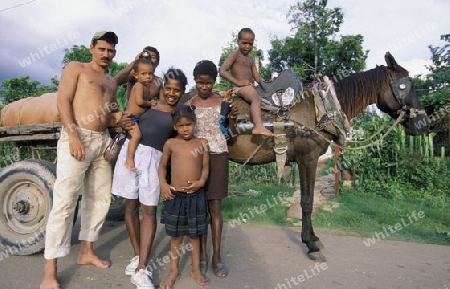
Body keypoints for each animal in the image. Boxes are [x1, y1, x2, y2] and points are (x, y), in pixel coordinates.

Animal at [227, 51, 430, 258]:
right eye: (403, 86)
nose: (424, 124)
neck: (322, 109)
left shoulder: (308, 160)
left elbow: (309, 198)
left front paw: (314, 238)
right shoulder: (307, 158)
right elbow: (307, 202)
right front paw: (311, 245)